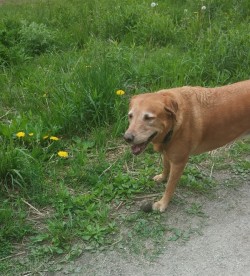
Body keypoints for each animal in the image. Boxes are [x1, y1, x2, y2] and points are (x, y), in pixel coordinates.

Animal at [124, 80, 250, 211]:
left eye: (148, 118)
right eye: (130, 116)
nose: (127, 138)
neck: (173, 126)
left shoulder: (179, 163)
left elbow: (170, 186)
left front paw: (163, 203)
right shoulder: (167, 152)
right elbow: (166, 167)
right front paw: (162, 177)